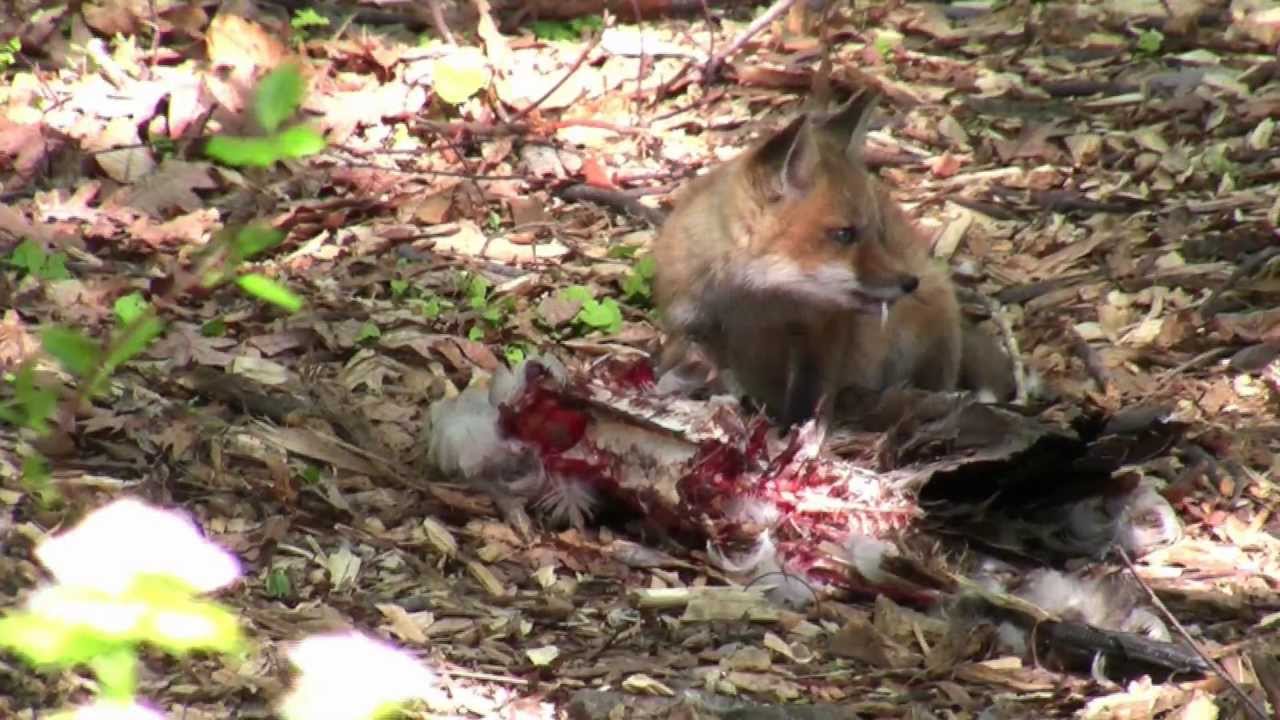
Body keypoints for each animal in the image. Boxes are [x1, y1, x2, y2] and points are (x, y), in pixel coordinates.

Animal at [652, 90, 1014, 428]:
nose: (910, 283)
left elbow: (808, 397)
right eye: (844, 234)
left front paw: (796, 435)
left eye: (878, 232)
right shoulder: (694, 329)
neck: (754, 308)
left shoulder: (822, 332)